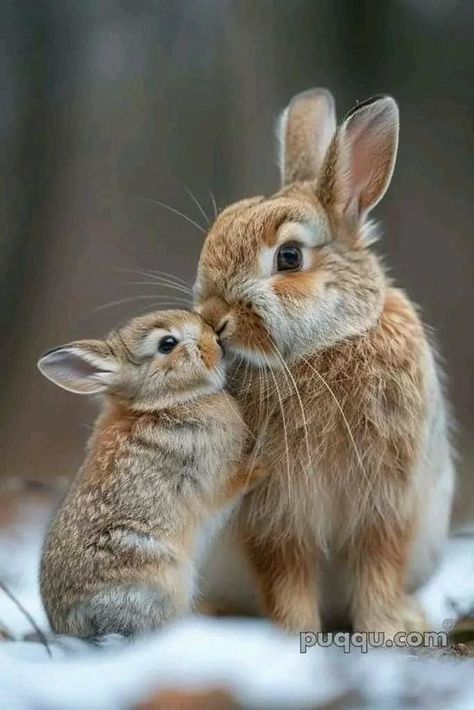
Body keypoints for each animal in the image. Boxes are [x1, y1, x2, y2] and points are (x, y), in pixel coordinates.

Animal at [39, 312, 256, 640]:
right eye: (167, 344)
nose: (216, 339)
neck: (163, 402)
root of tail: (73, 628)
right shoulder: (208, 472)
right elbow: (232, 485)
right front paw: (265, 464)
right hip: (157, 576)